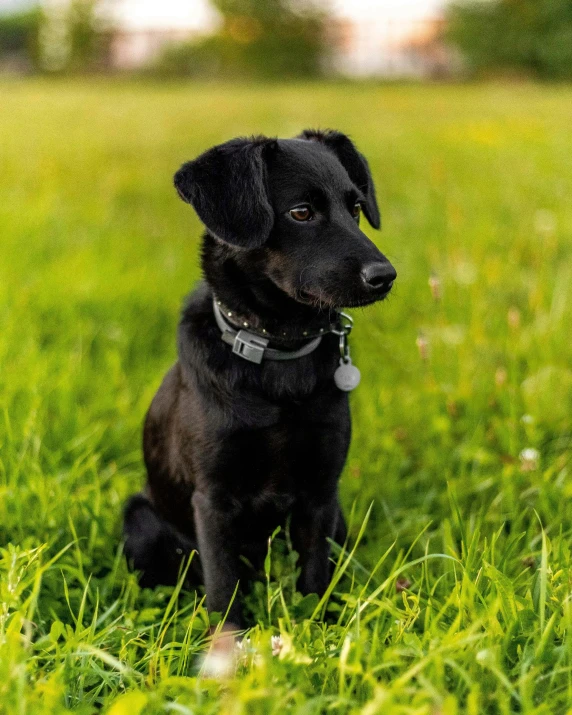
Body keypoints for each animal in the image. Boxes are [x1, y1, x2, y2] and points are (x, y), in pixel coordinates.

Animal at [123, 131, 396, 628]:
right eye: (301, 212)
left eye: (355, 207)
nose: (385, 276)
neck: (277, 352)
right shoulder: (213, 500)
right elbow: (222, 585)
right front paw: (227, 641)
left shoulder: (320, 492)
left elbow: (314, 574)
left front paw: (318, 629)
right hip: (140, 520)